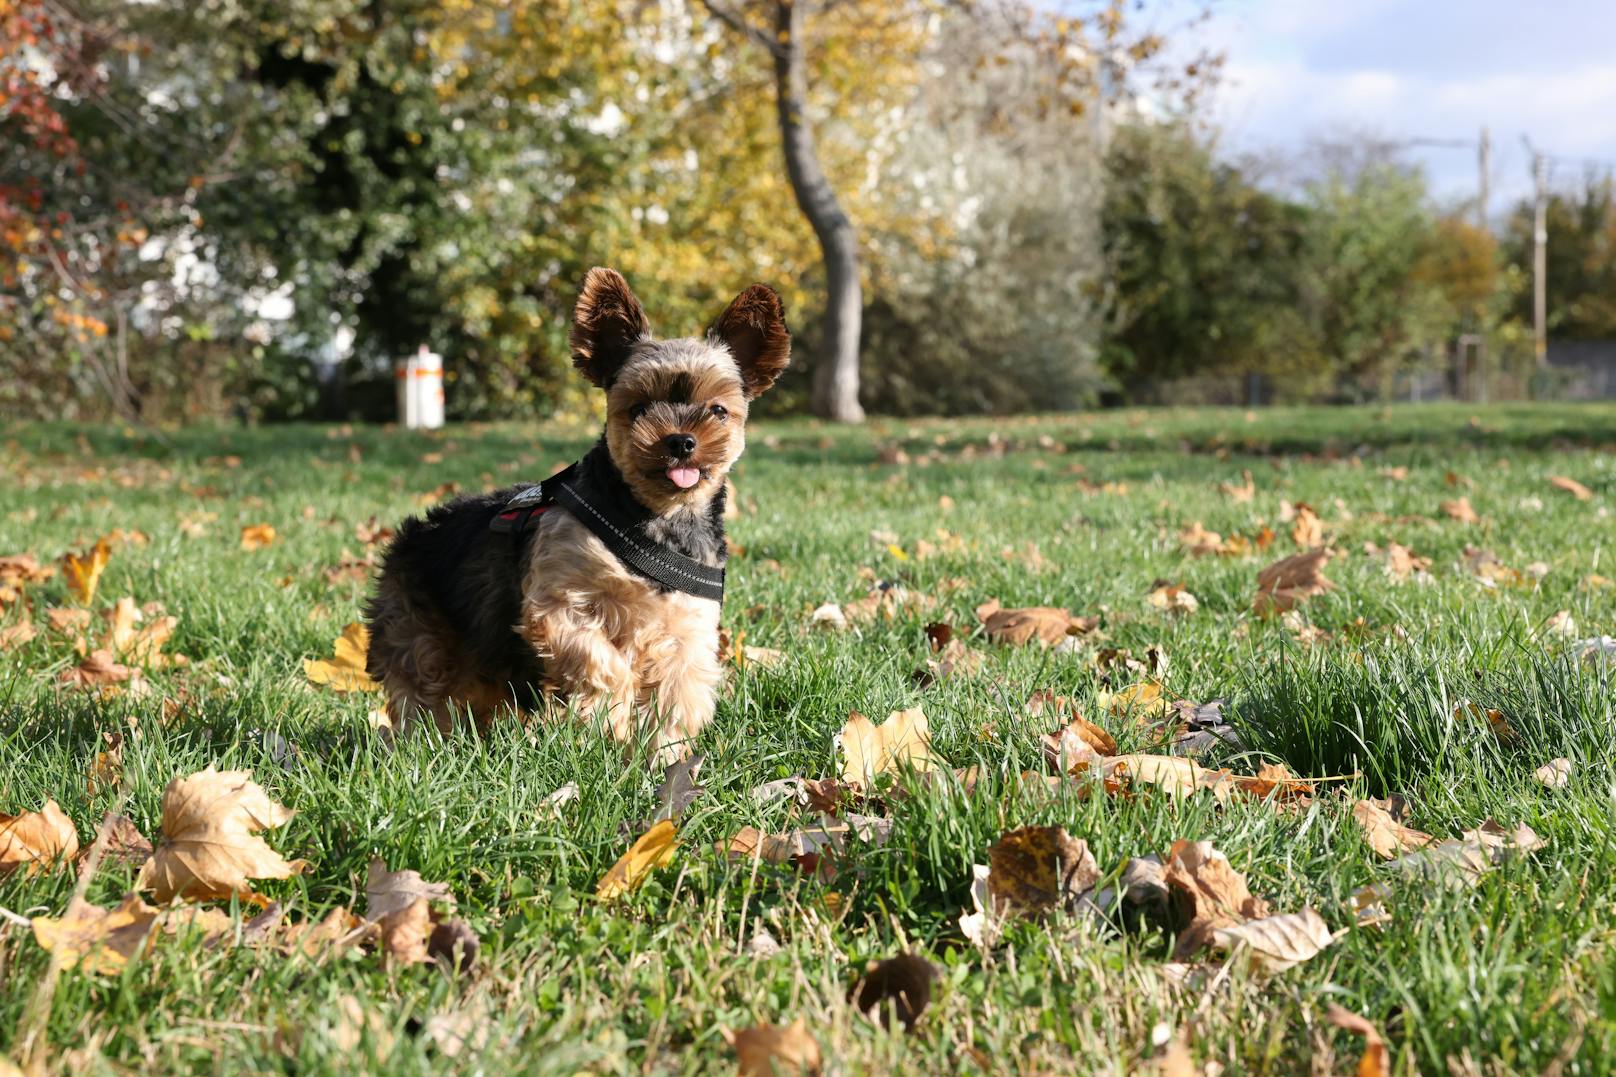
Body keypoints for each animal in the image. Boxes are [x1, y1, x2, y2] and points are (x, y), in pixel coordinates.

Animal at [368, 263, 795, 760]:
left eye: (718, 410)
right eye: (638, 408)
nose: (681, 441)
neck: (657, 520)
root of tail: (412, 533)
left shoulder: (688, 629)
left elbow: (678, 693)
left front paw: (663, 758)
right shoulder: (560, 604)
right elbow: (604, 663)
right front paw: (611, 720)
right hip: (419, 629)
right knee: (423, 687)